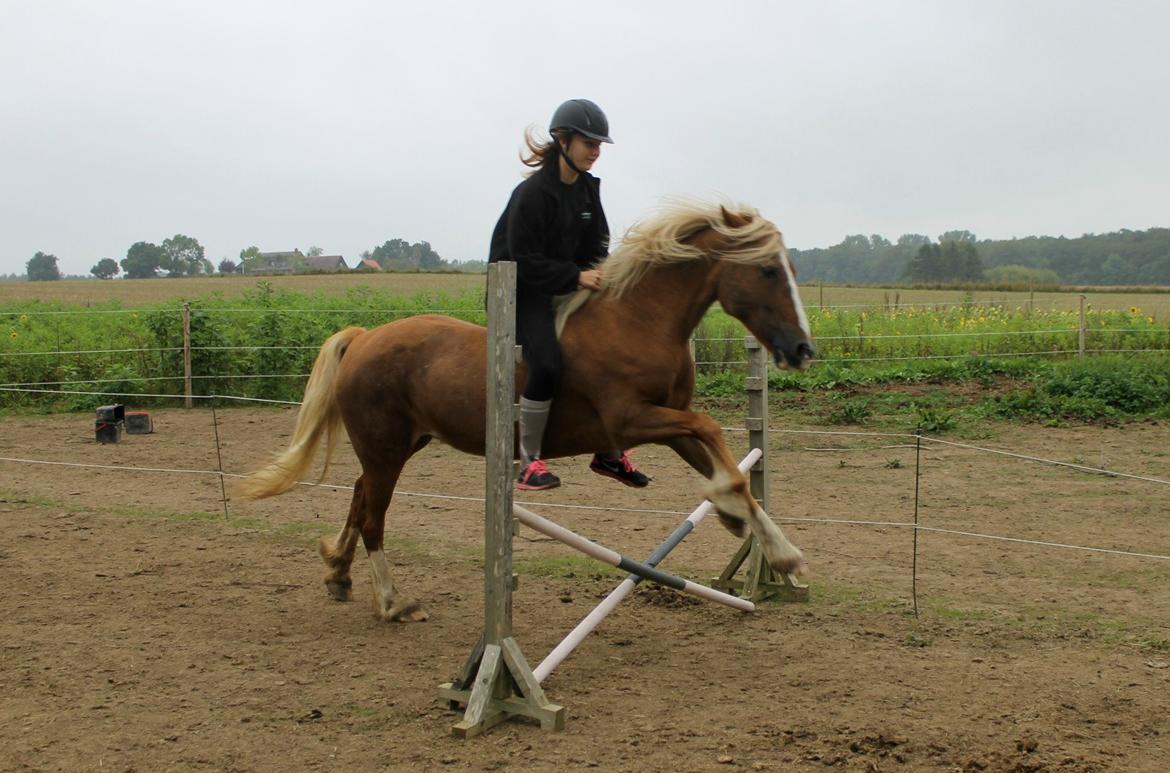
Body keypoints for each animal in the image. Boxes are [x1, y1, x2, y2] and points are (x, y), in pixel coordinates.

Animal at [237, 199, 814, 622]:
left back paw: (338, 574)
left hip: (400, 446)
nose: (803, 349)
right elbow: (715, 436)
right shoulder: (633, 418)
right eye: (767, 270)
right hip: (385, 451)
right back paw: (393, 602)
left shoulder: (668, 424)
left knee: (358, 499)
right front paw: (739, 518)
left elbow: (727, 466)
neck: (637, 319)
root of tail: (363, 338)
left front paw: (768, 543)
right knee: (374, 516)